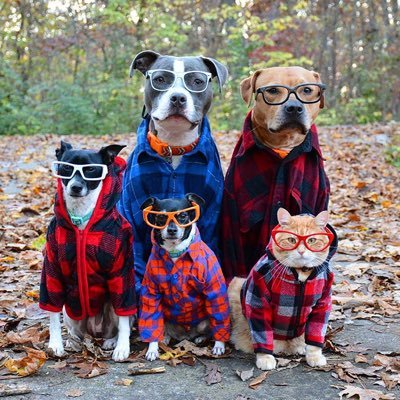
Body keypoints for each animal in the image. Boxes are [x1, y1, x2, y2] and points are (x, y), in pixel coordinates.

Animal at [139, 192, 231, 360]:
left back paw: (201, 338)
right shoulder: (151, 292)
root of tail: (185, 336)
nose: (172, 230)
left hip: (204, 322)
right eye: (161, 218)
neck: (175, 252)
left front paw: (219, 345)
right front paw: (152, 349)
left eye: (183, 216)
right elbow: (151, 321)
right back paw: (165, 338)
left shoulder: (214, 290)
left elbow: (219, 317)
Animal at [228, 208, 338, 370]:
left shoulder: (322, 305)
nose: (301, 252)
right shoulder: (257, 301)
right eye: (292, 240)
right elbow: (262, 334)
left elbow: (315, 338)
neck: (301, 273)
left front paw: (314, 356)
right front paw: (265, 357)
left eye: (311, 240)